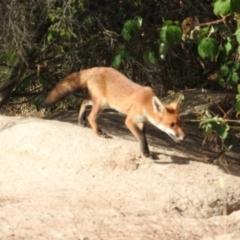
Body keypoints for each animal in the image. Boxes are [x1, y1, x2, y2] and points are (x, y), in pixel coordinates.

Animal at [40, 67, 184, 158]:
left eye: (180, 124)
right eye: (171, 124)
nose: (183, 136)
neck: (145, 103)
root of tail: (95, 68)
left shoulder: (141, 121)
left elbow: (143, 137)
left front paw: (145, 150)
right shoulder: (130, 120)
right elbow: (141, 137)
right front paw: (145, 152)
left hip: (102, 103)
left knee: (84, 101)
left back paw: (81, 120)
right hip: (101, 104)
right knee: (91, 117)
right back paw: (98, 132)